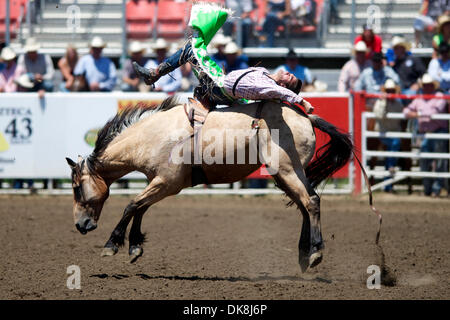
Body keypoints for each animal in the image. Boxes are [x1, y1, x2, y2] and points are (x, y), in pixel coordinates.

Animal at [66, 96, 356, 272]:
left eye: (77, 188)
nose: (80, 225)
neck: (151, 137)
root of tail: (306, 117)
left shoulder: (167, 183)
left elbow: (131, 205)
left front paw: (112, 244)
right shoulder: (158, 182)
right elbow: (140, 208)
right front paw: (135, 245)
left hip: (287, 171)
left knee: (311, 202)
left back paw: (315, 252)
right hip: (287, 175)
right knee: (305, 204)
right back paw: (304, 254)